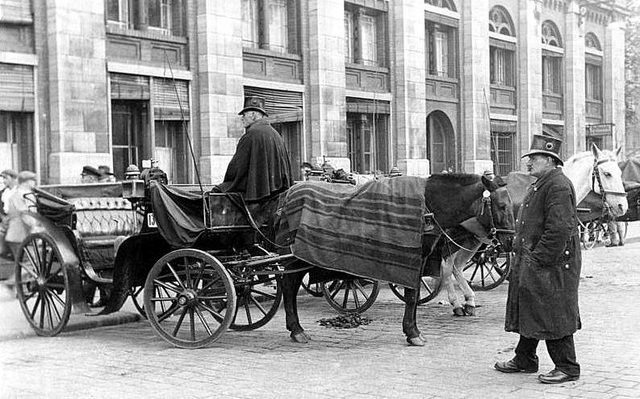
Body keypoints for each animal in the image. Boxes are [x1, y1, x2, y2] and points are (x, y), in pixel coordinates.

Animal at [280, 175, 516, 346]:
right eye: (502, 206)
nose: (511, 240)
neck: (428, 205)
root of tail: (288, 194)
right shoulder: (415, 257)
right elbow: (412, 295)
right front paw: (413, 332)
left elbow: (415, 291)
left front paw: (413, 329)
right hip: (294, 259)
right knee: (289, 286)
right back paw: (297, 329)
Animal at [438, 144, 628, 316]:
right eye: (607, 173)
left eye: (620, 172)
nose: (622, 206)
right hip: (454, 236)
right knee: (447, 266)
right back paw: (455, 302)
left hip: (473, 239)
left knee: (457, 266)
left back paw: (469, 300)